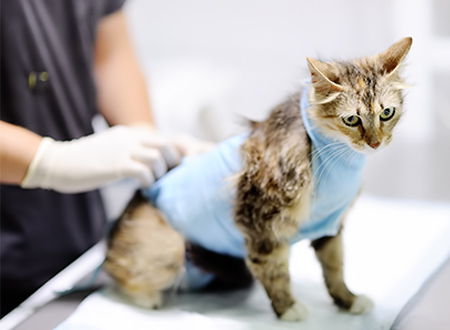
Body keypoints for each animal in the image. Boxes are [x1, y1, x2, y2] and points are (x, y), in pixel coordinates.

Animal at [104, 37, 412, 320]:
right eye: (351, 119)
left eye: (387, 113)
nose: (375, 143)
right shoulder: (260, 222)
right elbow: (273, 270)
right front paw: (288, 309)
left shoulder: (330, 225)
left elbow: (335, 268)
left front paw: (348, 301)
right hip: (170, 247)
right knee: (116, 272)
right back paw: (147, 297)